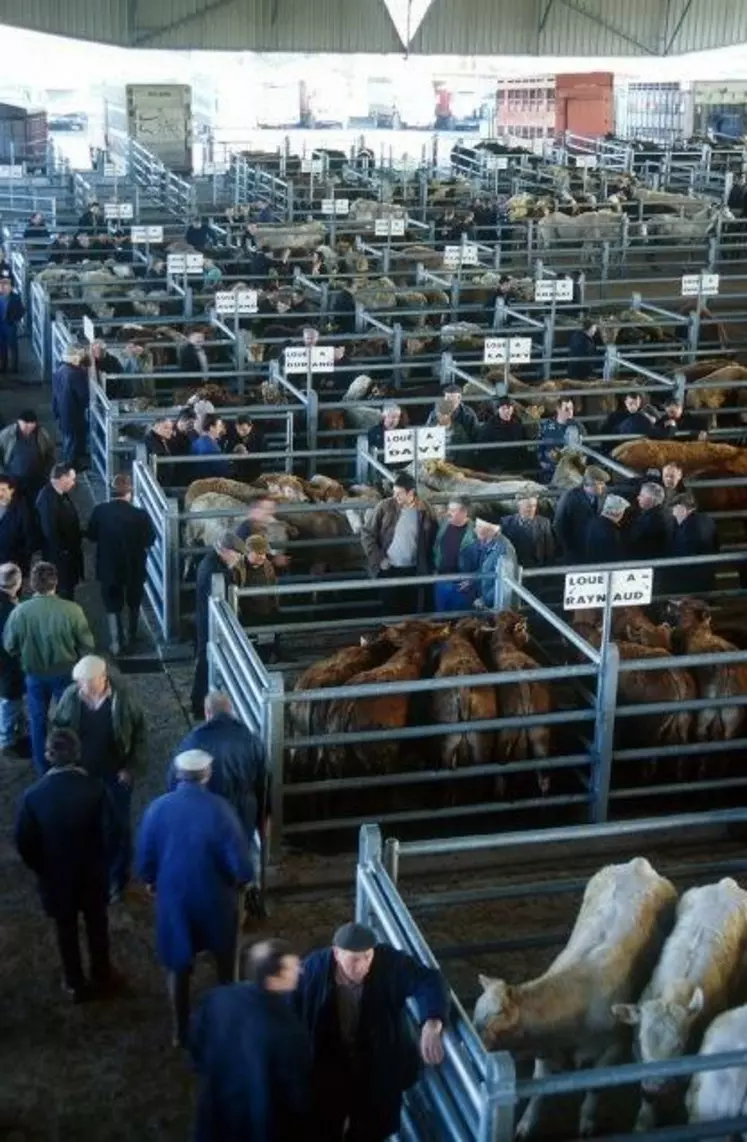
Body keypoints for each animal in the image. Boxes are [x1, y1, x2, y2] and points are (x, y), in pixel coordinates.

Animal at [477, 858, 680, 1137]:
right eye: (476, 1012)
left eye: (496, 1015)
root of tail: (638, 863)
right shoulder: (546, 1049)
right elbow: (540, 1087)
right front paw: (525, 1124)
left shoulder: (613, 1047)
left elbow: (595, 1085)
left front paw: (586, 1122)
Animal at [616, 877, 747, 1128]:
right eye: (642, 1040)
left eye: (678, 1045)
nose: (653, 1087)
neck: (675, 990)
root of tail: (725, 883)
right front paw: (644, 1120)